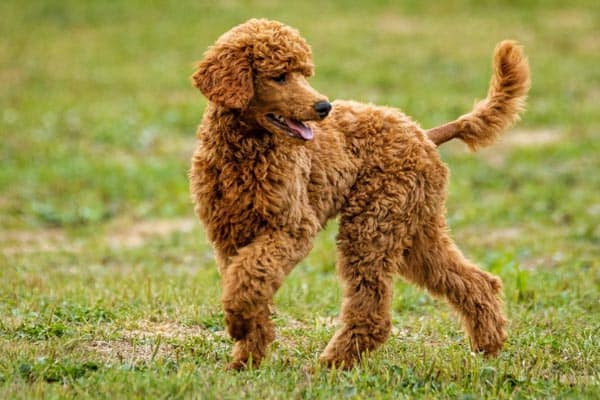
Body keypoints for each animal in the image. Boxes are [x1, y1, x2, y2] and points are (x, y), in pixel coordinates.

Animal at [189, 18, 528, 368]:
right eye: (279, 76)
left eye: (304, 73)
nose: (323, 107)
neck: (244, 153)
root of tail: (424, 134)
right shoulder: (228, 237)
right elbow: (248, 283)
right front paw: (246, 358)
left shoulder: (292, 227)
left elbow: (249, 279)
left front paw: (238, 323)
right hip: (415, 230)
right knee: (476, 281)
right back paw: (488, 346)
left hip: (373, 223)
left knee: (372, 310)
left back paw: (333, 363)